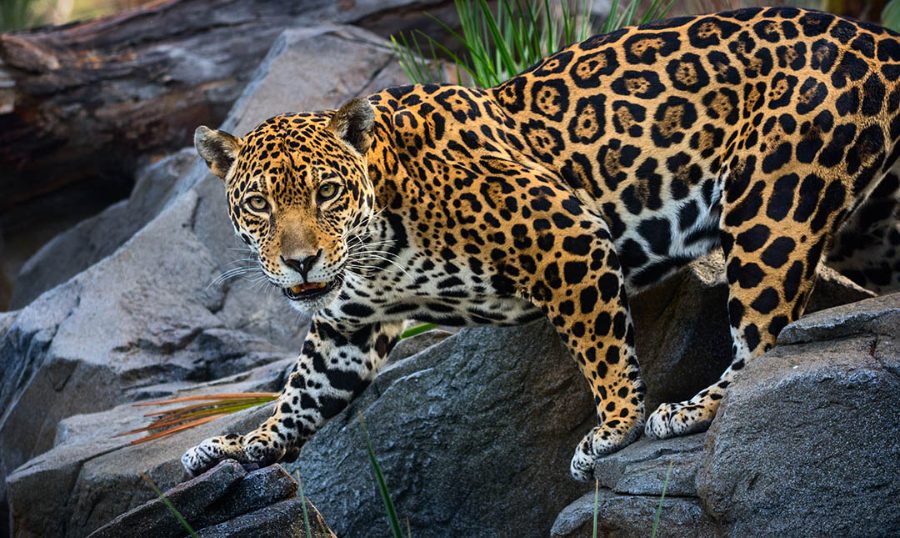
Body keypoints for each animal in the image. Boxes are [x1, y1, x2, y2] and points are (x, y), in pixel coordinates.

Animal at [182, 7, 900, 482]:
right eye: (259, 204)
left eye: (327, 192)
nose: (300, 262)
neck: (378, 238)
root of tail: (877, 35)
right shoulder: (346, 328)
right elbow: (302, 393)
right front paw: (240, 445)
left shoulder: (569, 237)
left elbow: (601, 350)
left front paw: (613, 430)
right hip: (873, 229)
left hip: (774, 205)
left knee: (764, 339)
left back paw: (691, 409)